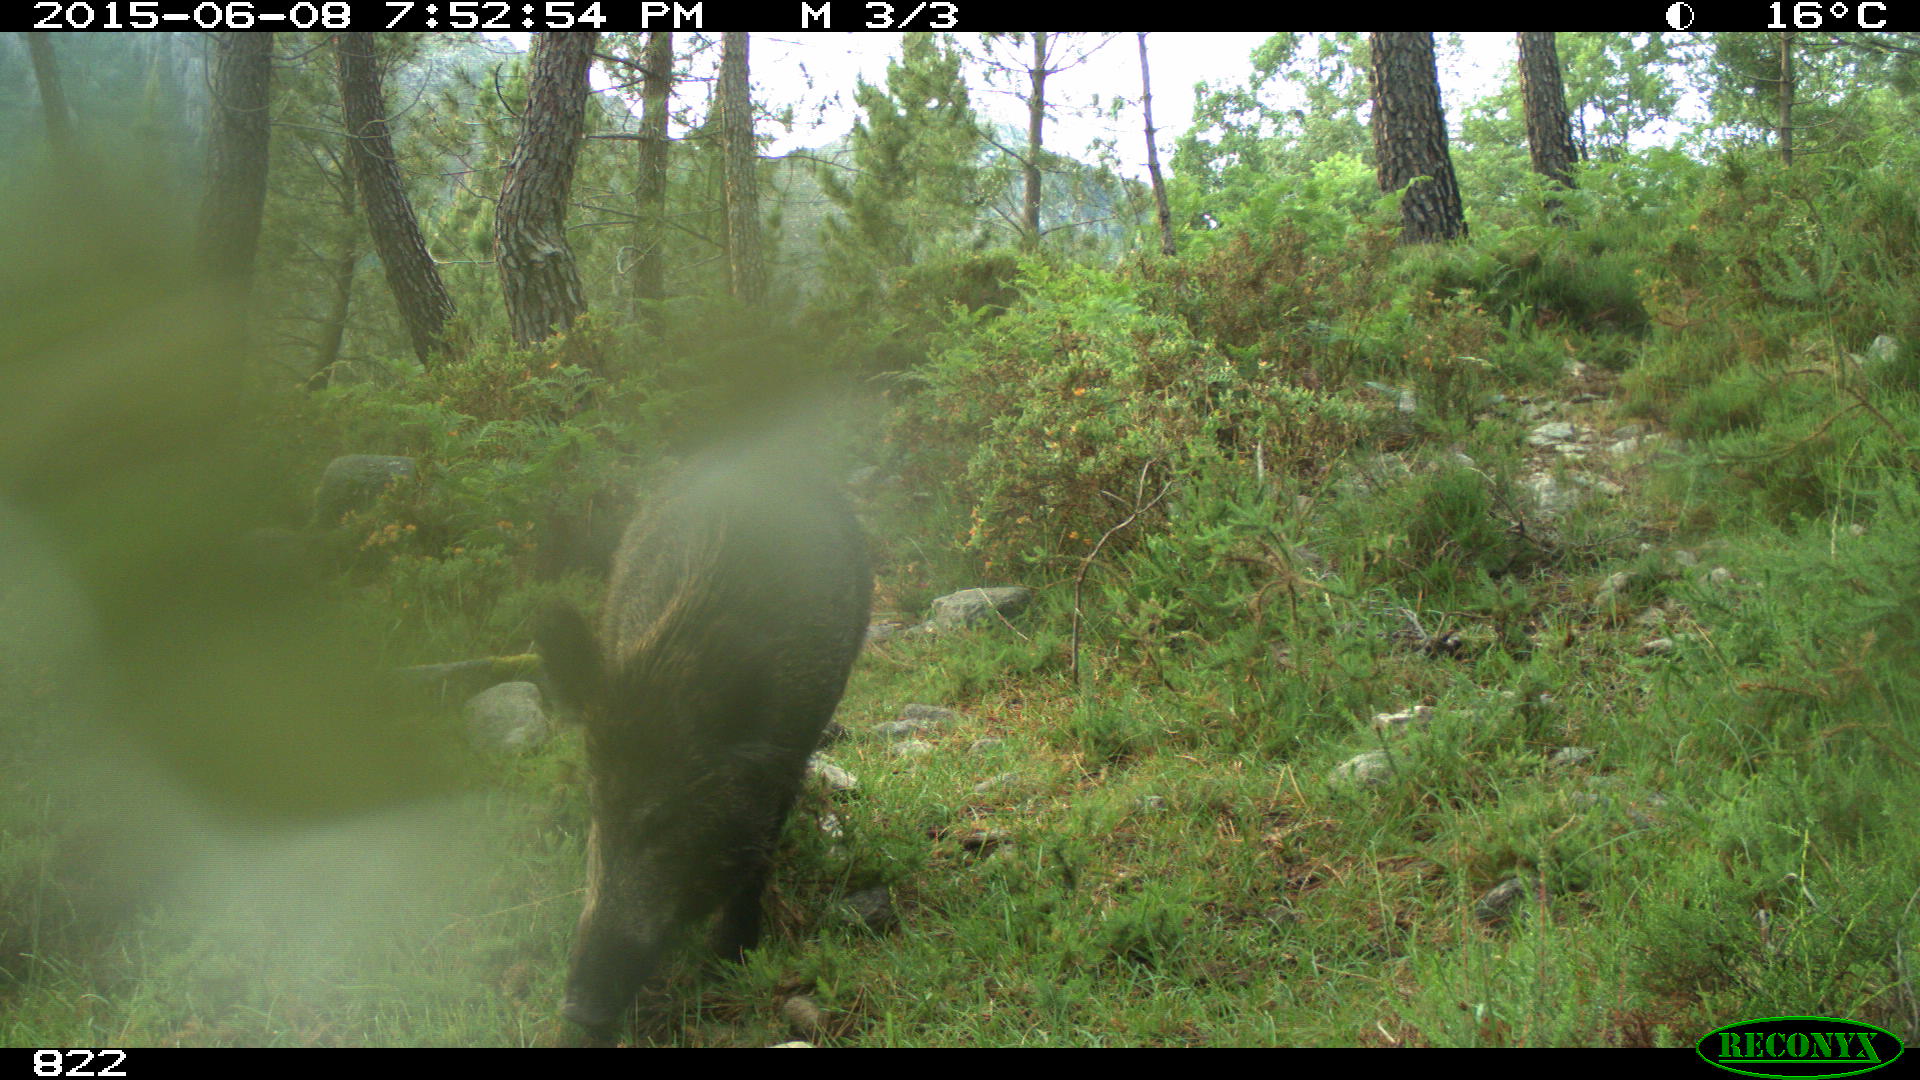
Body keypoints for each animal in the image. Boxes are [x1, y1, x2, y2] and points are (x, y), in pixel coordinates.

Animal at [538, 449, 872, 1037]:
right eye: (597, 806)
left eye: (666, 816)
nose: (578, 1009)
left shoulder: (786, 758)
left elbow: (757, 854)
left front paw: (729, 961)